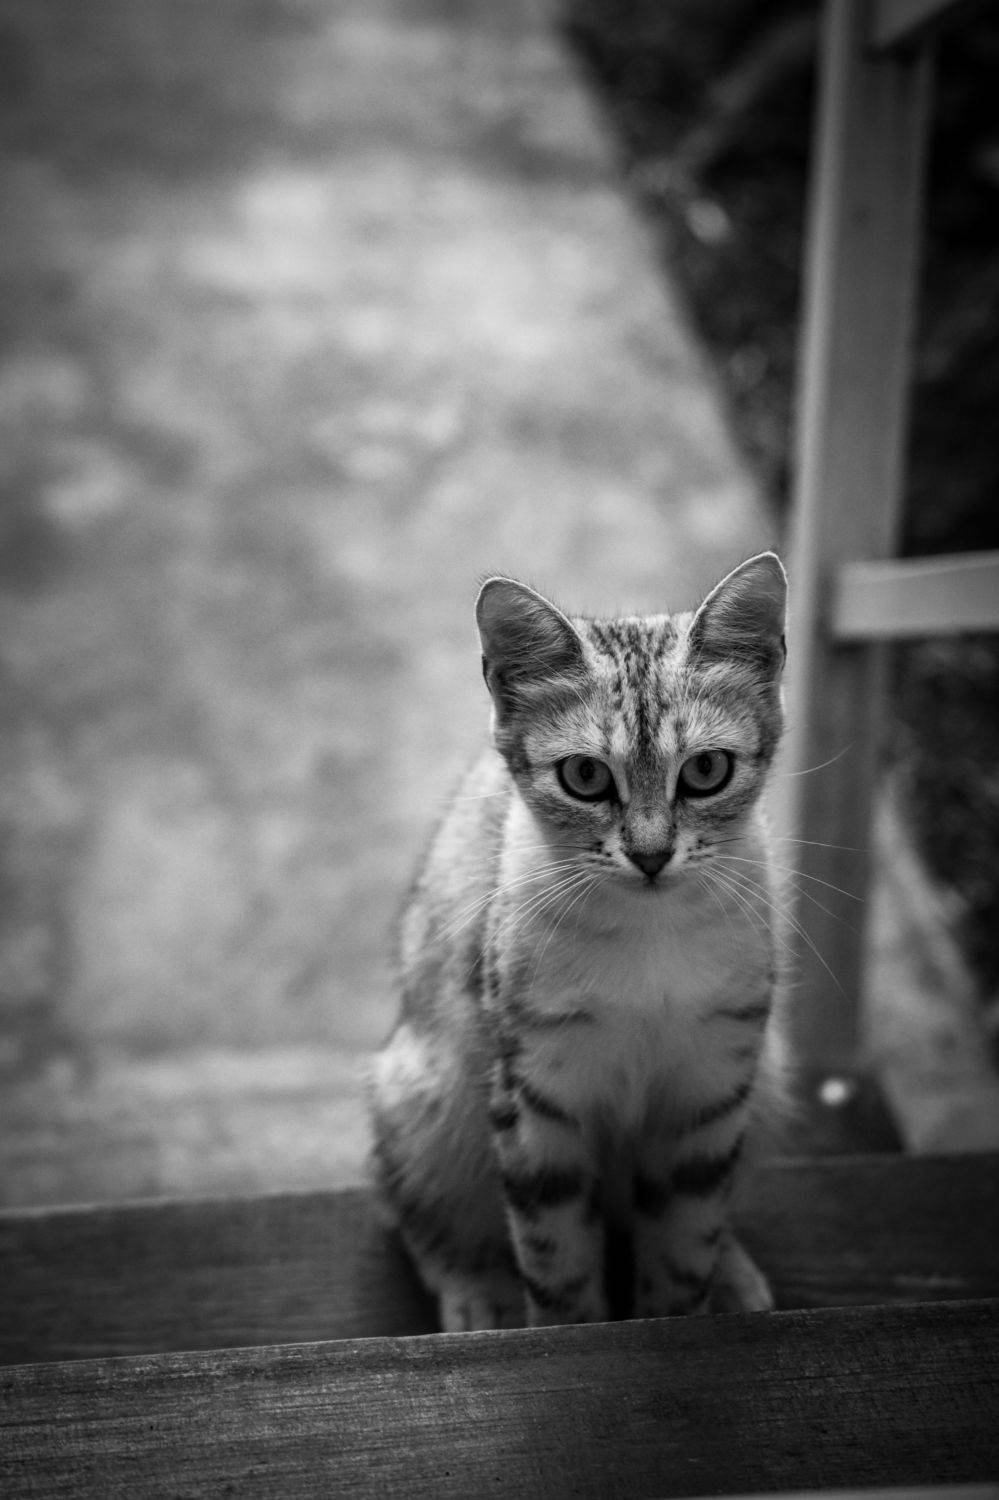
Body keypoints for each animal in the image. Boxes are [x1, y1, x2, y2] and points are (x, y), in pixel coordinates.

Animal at [369, 552, 789, 1331]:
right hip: (424, 1094)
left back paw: (735, 1276)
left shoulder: (711, 1086)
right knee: (415, 1207)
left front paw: (687, 1304)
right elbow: (555, 1255)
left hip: (767, 1081)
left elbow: (685, 1238)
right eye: (586, 775)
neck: (650, 936)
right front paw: (562, 1329)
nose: (651, 855)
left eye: (706, 769)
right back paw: (475, 1289)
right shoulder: (538, 1095)